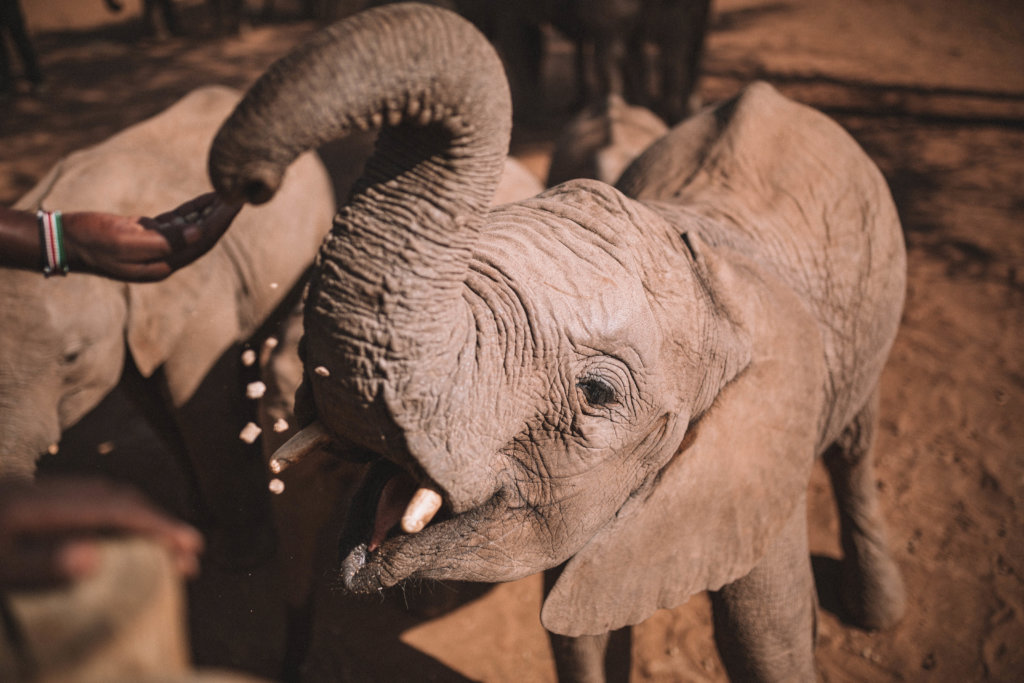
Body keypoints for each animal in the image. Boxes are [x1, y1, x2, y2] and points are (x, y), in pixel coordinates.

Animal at [0, 85, 335, 675]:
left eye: (70, 357)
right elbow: (148, 398)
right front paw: (195, 521)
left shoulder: (194, 289)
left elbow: (196, 398)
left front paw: (236, 560)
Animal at [207, 4, 907, 681]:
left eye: (597, 393)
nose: (244, 185)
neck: (709, 271)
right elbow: (572, 633)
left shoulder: (756, 467)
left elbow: (764, 639)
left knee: (854, 444)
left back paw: (878, 614)